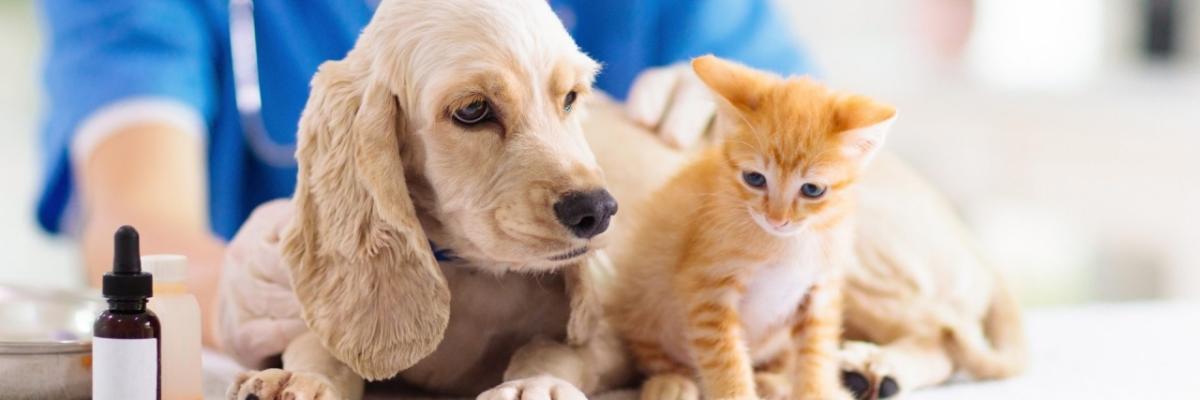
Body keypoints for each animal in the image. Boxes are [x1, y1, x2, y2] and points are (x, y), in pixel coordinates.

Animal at [225, 1, 638, 396]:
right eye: (472, 110)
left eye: (570, 98)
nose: (598, 211)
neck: (470, 271)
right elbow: (319, 345)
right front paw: (300, 378)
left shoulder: (610, 340)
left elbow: (559, 348)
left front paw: (536, 383)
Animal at [614, 56, 897, 398]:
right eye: (754, 178)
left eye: (812, 190)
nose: (777, 219)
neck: (788, 244)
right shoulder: (707, 291)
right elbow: (725, 360)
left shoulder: (820, 292)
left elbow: (816, 353)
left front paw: (816, 390)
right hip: (645, 300)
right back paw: (672, 381)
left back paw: (775, 382)